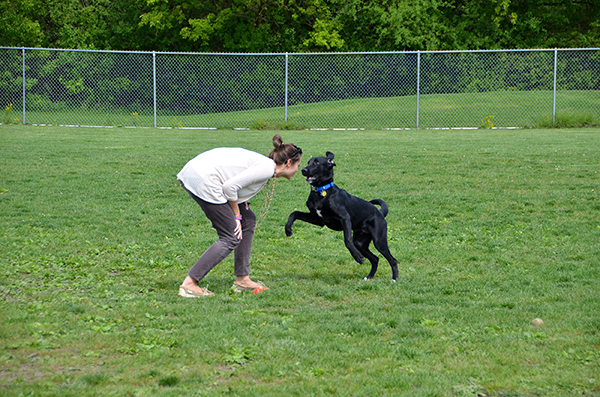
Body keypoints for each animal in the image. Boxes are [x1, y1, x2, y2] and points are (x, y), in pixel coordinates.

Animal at [284, 152, 398, 282]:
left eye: (317, 162)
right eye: (308, 162)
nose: (303, 170)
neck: (322, 192)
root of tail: (380, 213)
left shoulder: (345, 218)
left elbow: (347, 240)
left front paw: (358, 258)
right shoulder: (318, 219)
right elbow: (294, 213)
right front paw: (288, 229)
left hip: (379, 241)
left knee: (392, 260)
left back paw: (394, 278)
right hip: (360, 242)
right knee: (375, 259)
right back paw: (369, 277)